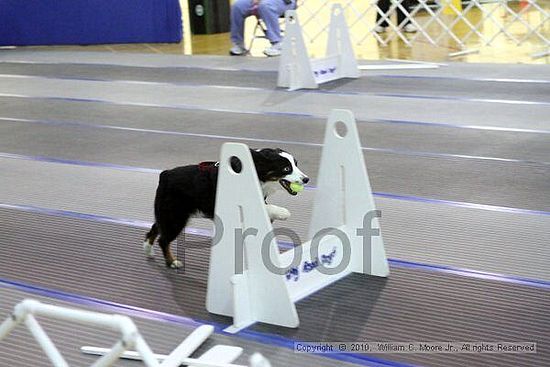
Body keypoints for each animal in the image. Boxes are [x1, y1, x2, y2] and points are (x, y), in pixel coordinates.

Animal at [144, 148, 310, 268]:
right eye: (286, 168)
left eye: (296, 164)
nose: (306, 179)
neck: (256, 170)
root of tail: (165, 174)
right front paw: (283, 212)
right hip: (175, 217)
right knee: (163, 240)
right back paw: (172, 262)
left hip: (168, 213)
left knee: (155, 228)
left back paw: (148, 249)